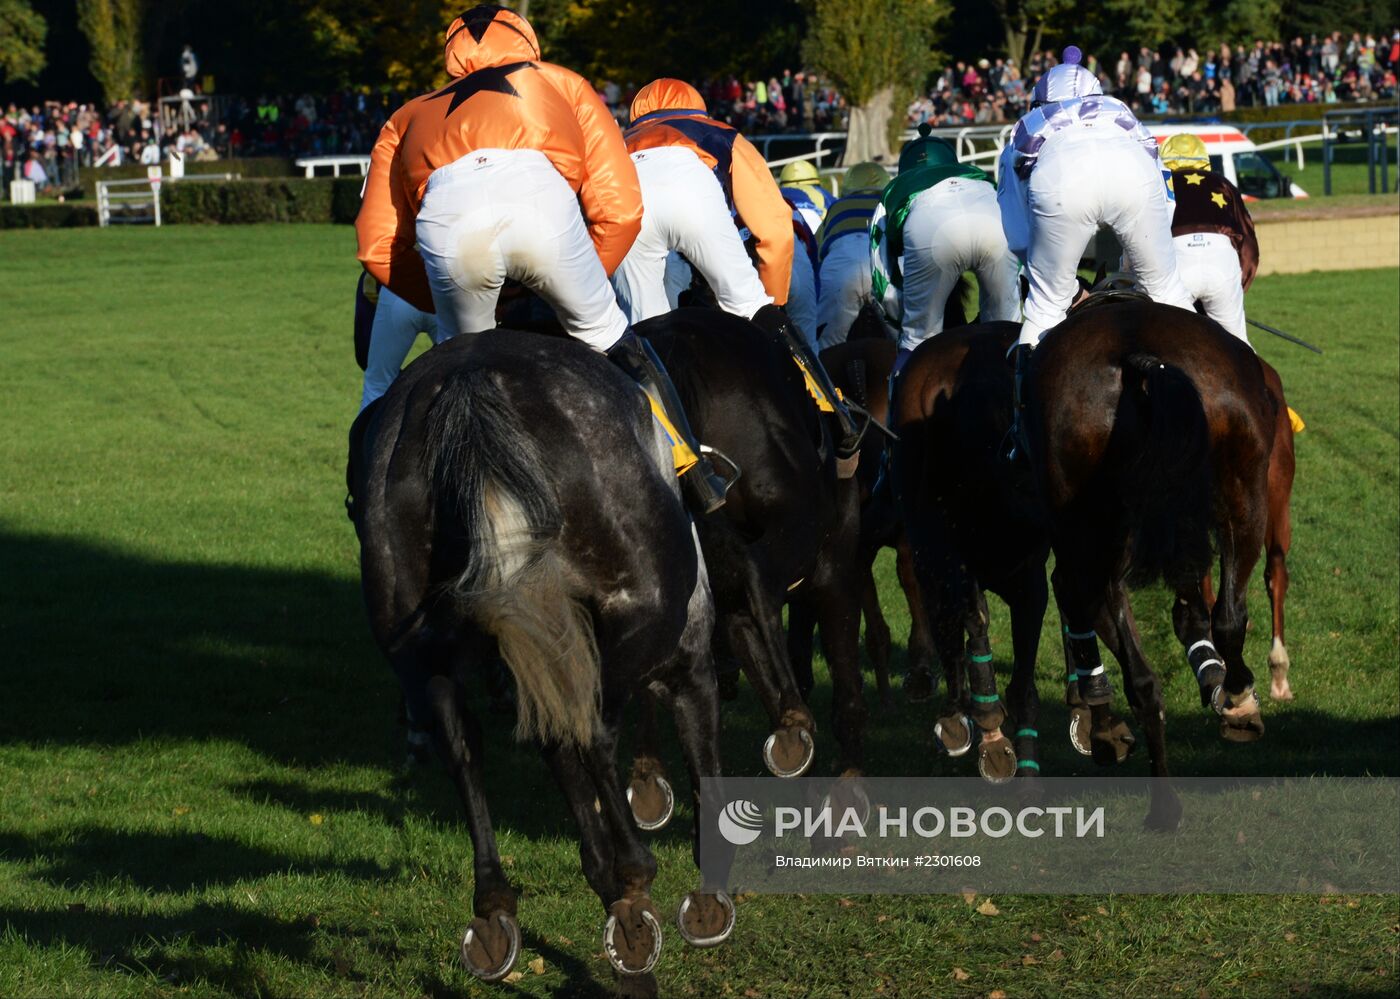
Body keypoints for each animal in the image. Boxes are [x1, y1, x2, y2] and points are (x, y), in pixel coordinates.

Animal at [348, 333, 733, 990]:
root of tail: (471, 381)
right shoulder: (684, 657)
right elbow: (694, 757)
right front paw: (698, 905)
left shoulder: (538, 660)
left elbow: (559, 756)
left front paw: (620, 918)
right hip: (644, 618)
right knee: (597, 729)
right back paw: (635, 868)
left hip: (422, 648)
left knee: (463, 745)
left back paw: (495, 911)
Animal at [1030, 299, 1282, 828]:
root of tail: (1138, 361)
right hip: (1244, 497)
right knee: (1227, 617)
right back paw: (1237, 702)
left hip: (1097, 526)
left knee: (1139, 669)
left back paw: (1158, 796)